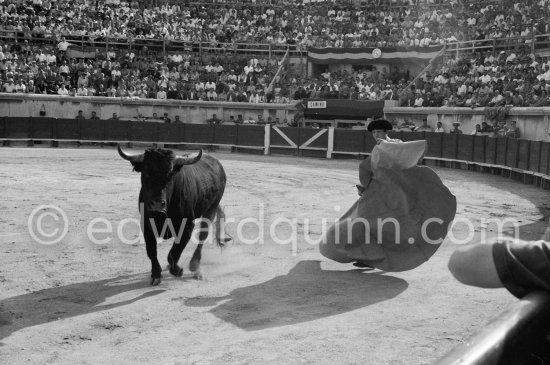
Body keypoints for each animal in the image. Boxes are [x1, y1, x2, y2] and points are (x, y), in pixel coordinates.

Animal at [117, 145, 230, 284]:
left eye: (170, 175)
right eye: (146, 173)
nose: (157, 204)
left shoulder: (187, 226)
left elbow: (174, 251)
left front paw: (177, 270)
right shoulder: (146, 224)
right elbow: (151, 251)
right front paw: (156, 274)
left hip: (211, 208)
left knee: (203, 235)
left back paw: (195, 266)